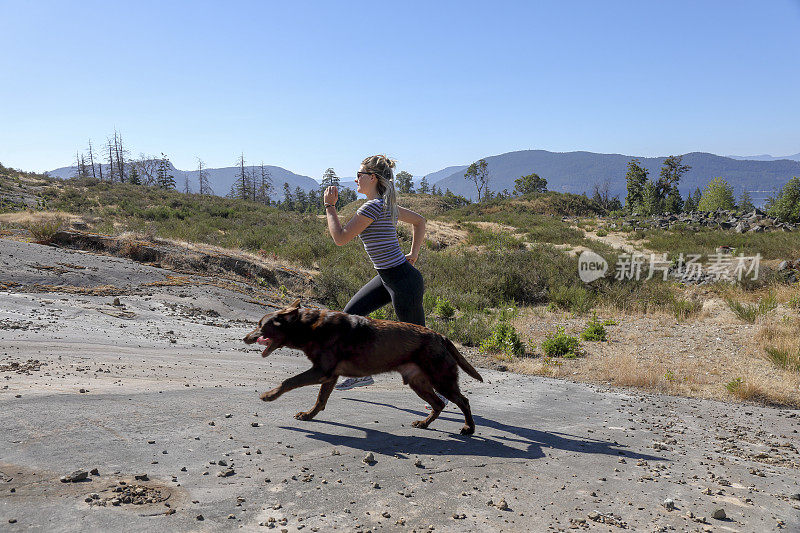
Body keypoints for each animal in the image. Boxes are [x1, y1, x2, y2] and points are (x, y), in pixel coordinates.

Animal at [242, 300, 482, 432]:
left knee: (463, 401)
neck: (309, 327)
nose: (245, 338)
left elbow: (289, 381)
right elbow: (320, 400)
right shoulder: (329, 376)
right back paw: (424, 424)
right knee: (439, 404)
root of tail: (440, 336)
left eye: (260, 325)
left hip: (442, 380)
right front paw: (308, 415)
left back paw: (468, 429)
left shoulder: (321, 371)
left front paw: (270, 395)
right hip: (418, 382)